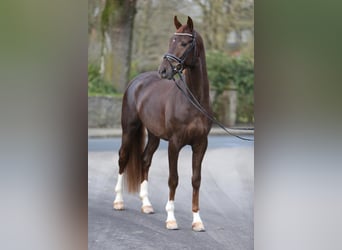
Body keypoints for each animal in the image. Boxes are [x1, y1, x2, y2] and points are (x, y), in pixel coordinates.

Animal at [113, 15, 212, 230]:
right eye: (170, 41)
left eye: (184, 43)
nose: (164, 70)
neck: (193, 100)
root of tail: (136, 82)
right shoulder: (174, 144)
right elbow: (173, 179)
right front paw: (171, 219)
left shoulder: (201, 145)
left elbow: (196, 180)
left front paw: (197, 221)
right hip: (129, 129)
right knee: (123, 157)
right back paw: (118, 202)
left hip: (154, 136)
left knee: (144, 160)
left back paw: (146, 205)